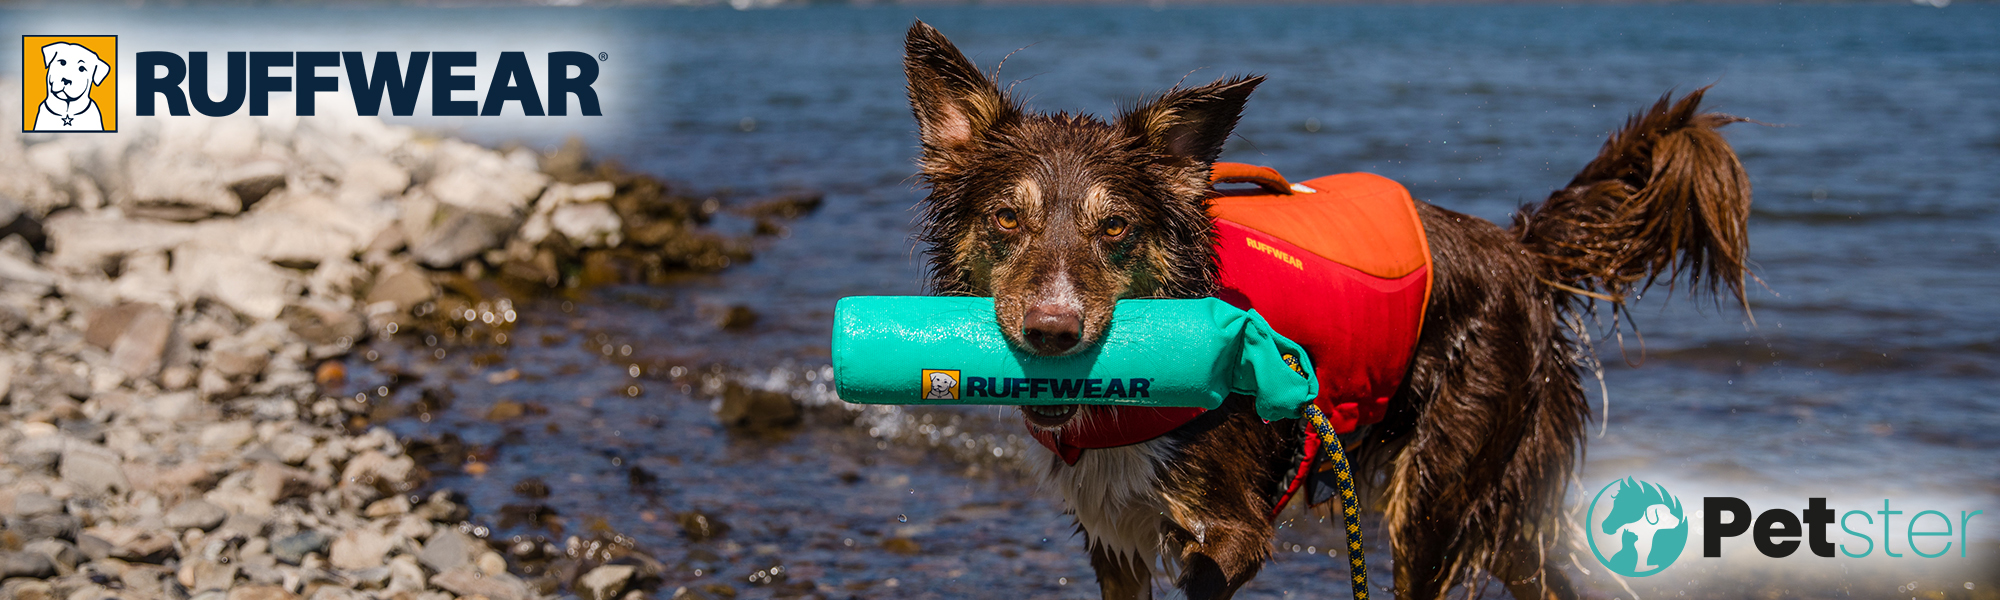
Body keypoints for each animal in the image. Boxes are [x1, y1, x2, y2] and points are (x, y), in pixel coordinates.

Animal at [904, 19, 1752, 600]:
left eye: (1115, 228)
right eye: (1006, 218)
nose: (1052, 332)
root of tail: (1517, 249)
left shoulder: (1235, 528)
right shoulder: (1113, 537)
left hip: (1437, 484)